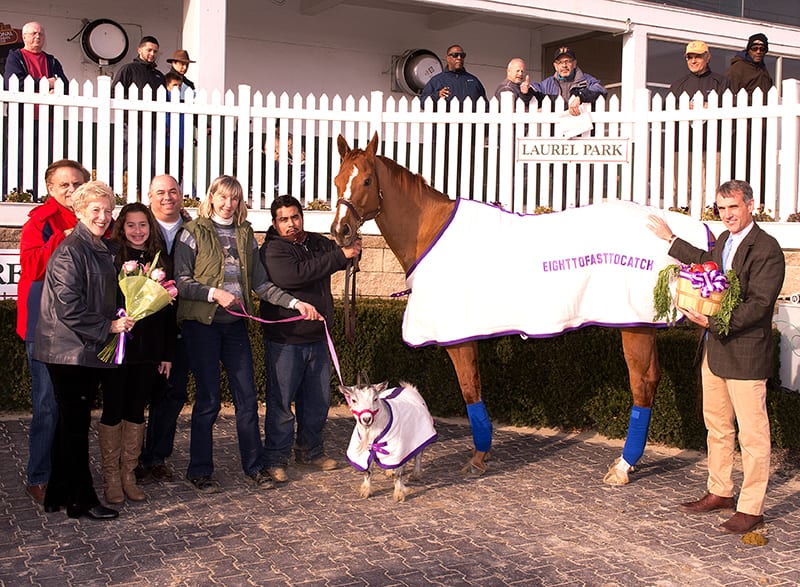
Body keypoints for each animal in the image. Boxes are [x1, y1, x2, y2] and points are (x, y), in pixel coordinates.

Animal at [330, 133, 656, 482]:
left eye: (366, 180)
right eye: (337, 179)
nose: (340, 230)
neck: (433, 233)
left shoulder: (459, 338)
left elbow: (470, 390)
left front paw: (478, 457)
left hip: (636, 327)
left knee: (642, 385)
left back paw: (623, 466)